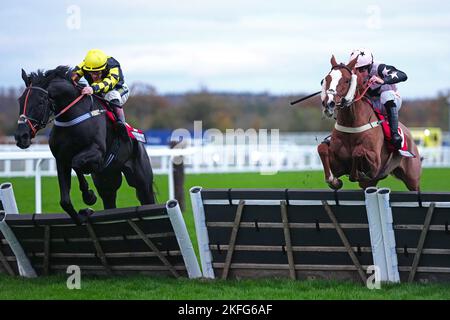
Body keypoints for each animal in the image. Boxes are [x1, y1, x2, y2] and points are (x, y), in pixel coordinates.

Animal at [14, 66, 156, 224]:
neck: (72, 117)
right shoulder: (61, 159)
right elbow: (65, 201)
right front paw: (84, 211)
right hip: (107, 183)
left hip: (142, 182)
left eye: (40, 102)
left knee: (146, 197)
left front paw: (88, 196)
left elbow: (76, 162)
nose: (21, 136)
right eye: (20, 100)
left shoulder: (97, 152)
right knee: (109, 198)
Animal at [316, 55, 422, 190]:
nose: (329, 104)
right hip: (371, 183)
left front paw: (357, 173)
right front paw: (334, 181)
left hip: (412, 178)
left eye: (347, 80)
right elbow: (322, 148)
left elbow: (357, 152)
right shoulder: (338, 166)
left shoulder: (376, 164)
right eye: (326, 79)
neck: (352, 123)